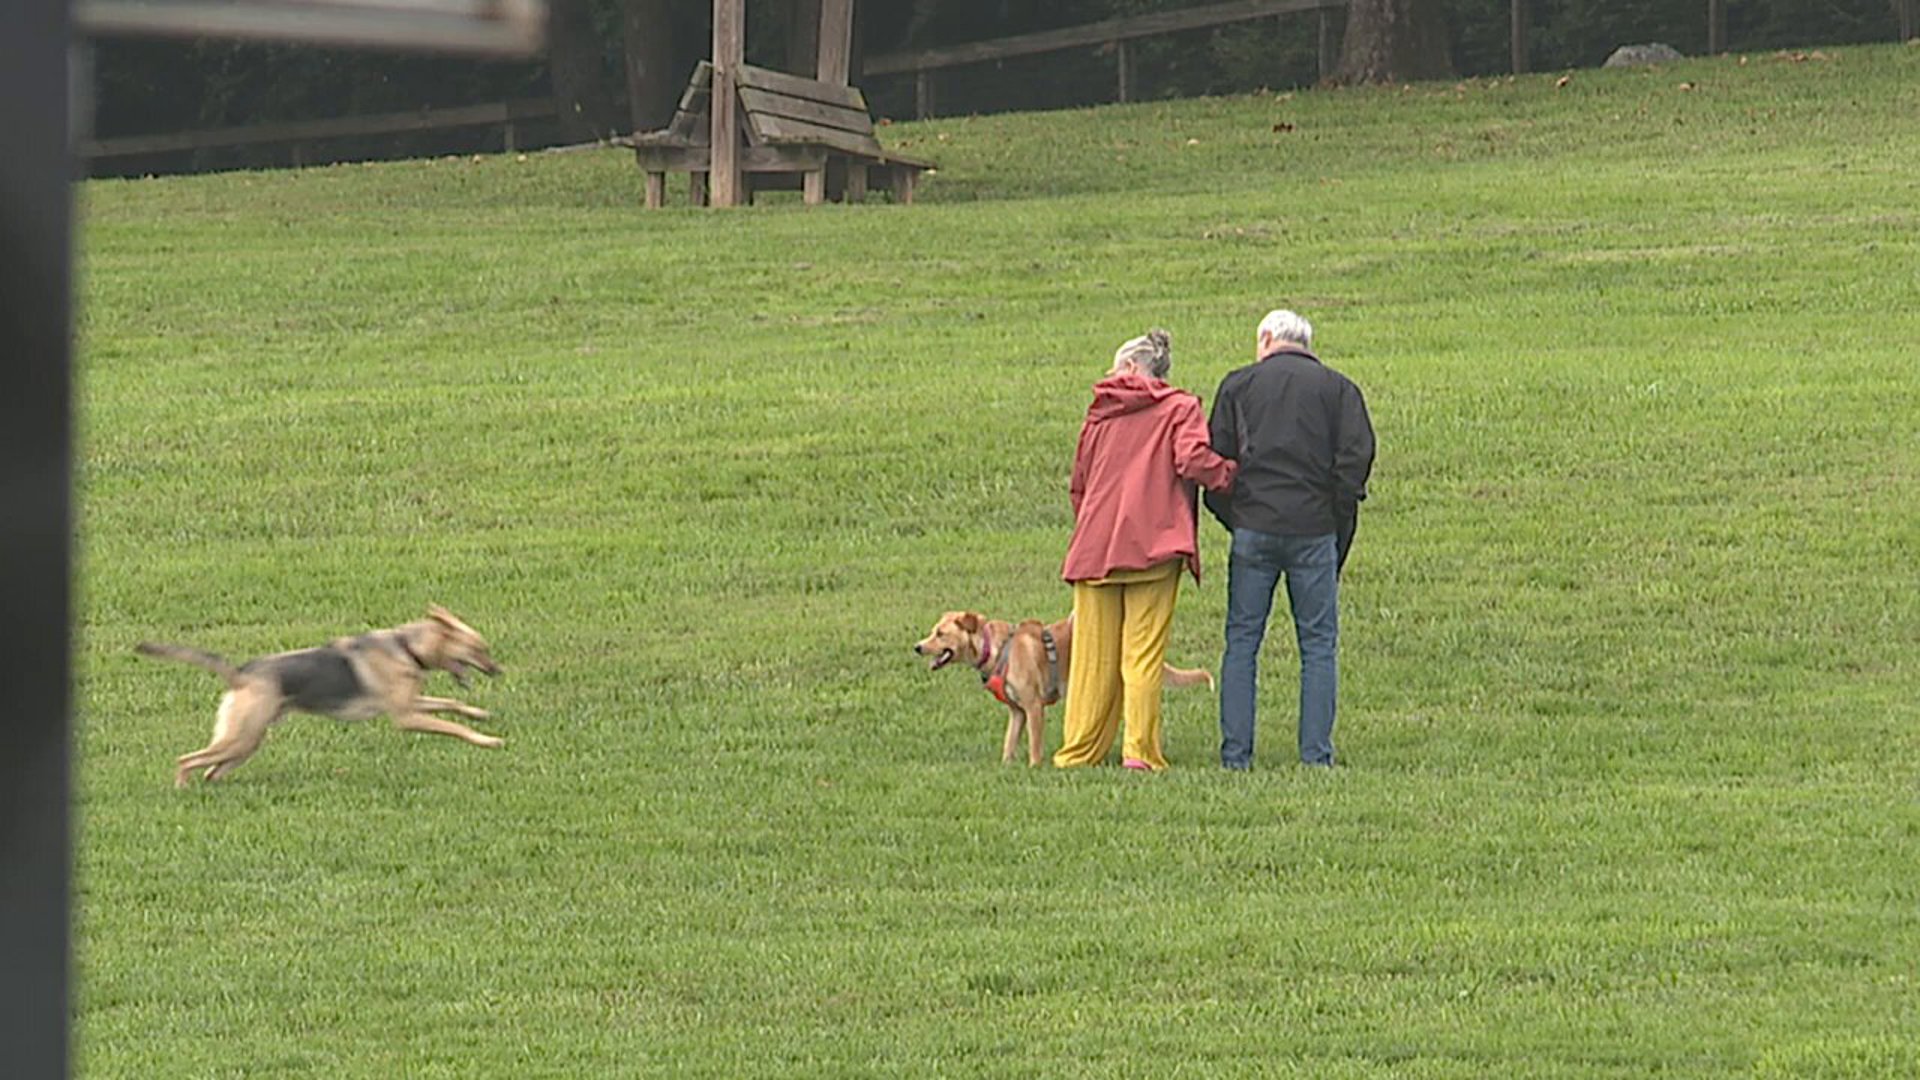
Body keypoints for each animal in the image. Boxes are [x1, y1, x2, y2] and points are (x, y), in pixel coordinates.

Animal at [140, 599, 503, 787]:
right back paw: (182, 788)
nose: (498, 670)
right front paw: (487, 740)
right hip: (242, 737)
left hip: (246, 742)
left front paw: (479, 714)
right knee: (186, 760)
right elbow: (453, 727)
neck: (407, 646)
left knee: (211, 770)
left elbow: (452, 704)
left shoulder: (412, 704)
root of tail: (241, 674)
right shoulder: (406, 716)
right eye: (479, 649)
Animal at [913, 607, 1213, 764]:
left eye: (940, 633)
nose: (917, 647)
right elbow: (1009, 743)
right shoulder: (1017, 712)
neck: (995, 649)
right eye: (933, 631)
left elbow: (1035, 746)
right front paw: (1006, 766)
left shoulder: (1034, 707)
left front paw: (1034, 768)